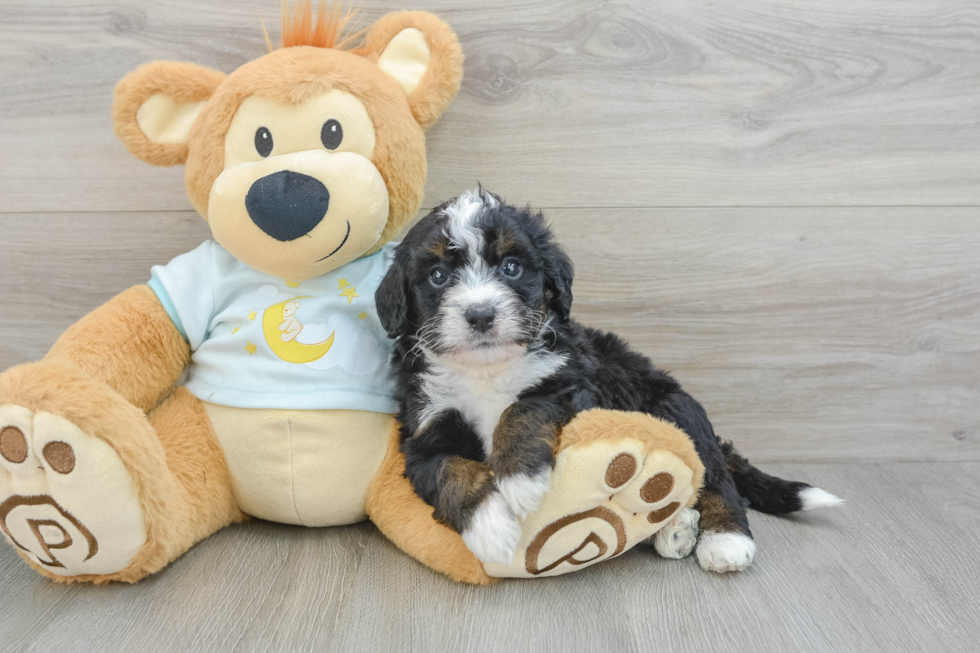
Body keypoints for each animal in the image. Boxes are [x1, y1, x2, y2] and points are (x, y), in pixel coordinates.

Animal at [376, 187, 844, 572]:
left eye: (510, 267)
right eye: (438, 276)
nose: (480, 315)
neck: (486, 368)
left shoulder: (573, 385)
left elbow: (525, 404)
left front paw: (520, 480)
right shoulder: (425, 431)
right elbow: (451, 472)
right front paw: (491, 530)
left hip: (676, 409)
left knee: (716, 480)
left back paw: (724, 540)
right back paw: (674, 530)